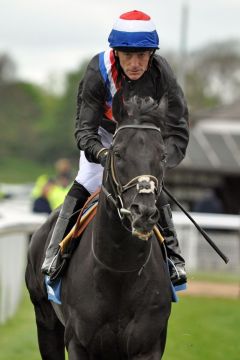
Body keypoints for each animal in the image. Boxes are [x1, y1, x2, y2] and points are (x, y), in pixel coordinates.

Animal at [25, 95, 172, 360]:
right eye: (118, 153)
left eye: (163, 155)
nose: (143, 212)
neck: (119, 271)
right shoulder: (79, 343)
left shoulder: (148, 346)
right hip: (45, 318)